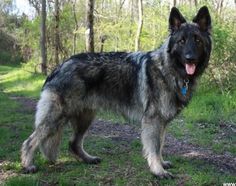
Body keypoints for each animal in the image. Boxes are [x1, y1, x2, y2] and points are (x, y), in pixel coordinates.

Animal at [21, 6, 211, 179]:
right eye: (181, 41)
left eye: (197, 40)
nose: (190, 58)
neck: (168, 68)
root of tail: (59, 67)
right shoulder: (153, 121)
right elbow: (154, 148)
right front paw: (158, 171)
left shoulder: (161, 123)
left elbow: (160, 145)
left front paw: (162, 164)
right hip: (57, 117)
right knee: (30, 141)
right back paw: (27, 165)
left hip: (85, 118)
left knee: (74, 143)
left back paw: (88, 159)